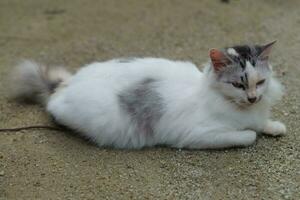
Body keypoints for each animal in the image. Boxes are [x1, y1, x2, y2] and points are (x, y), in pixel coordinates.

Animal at [7, 41, 286, 149]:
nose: (253, 98)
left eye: (260, 82)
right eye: (238, 85)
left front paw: (274, 127)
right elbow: (248, 135)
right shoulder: (199, 135)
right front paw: (255, 131)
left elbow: (262, 123)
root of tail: (65, 85)